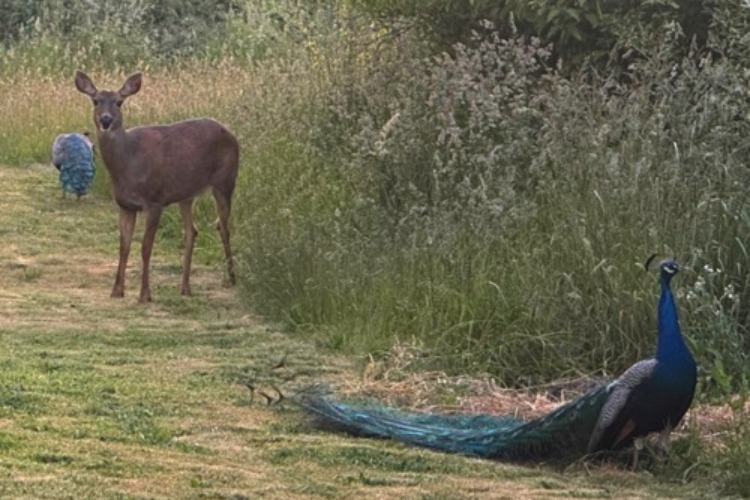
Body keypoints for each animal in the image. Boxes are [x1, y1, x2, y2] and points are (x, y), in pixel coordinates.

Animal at [74, 70, 240, 303]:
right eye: (95, 100)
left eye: (119, 102)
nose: (106, 120)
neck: (128, 162)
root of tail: (232, 134)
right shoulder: (125, 205)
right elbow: (123, 247)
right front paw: (116, 291)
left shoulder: (154, 200)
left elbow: (145, 247)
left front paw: (145, 294)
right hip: (186, 194)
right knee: (192, 230)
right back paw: (185, 287)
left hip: (226, 181)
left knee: (223, 227)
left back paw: (232, 278)